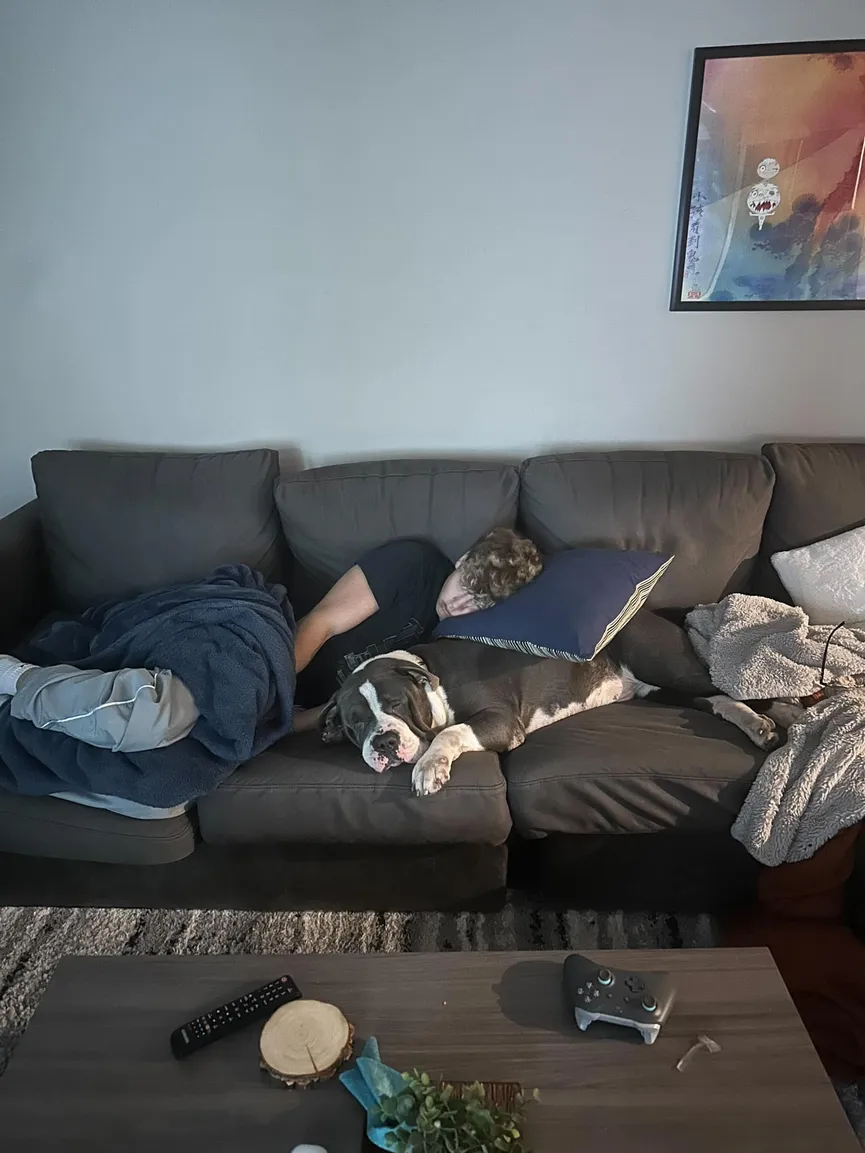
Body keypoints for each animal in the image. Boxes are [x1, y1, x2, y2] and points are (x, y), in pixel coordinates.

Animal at [320, 608, 793, 797]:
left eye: (397, 704)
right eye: (354, 724)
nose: (383, 743)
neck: (427, 679)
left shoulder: (498, 720)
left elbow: (450, 732)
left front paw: (429, 767)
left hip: (660, 663)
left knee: (728, 688)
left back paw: (780, 713)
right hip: (664, 688)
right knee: (712, 699)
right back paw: (756, 724)